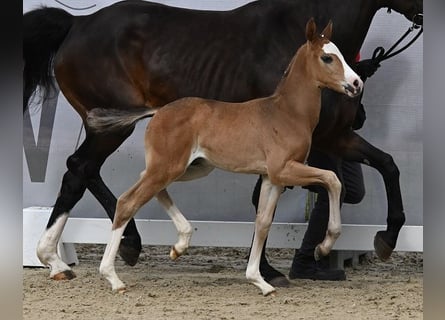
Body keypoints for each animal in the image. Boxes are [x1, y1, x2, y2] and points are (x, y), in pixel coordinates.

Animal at [93, 18, 360, 296]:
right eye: (327, 57)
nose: (356, 84)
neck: (286, 113)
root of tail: (158, 111)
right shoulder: (283, 169)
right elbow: (332, 179)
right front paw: (324, 246)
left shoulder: (272, 178)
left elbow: (263, 222)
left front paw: (260, 281)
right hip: (169, 167)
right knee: (128, 201)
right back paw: (113, 278)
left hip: (189, 168)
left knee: (149, 185)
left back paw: (180, 245)